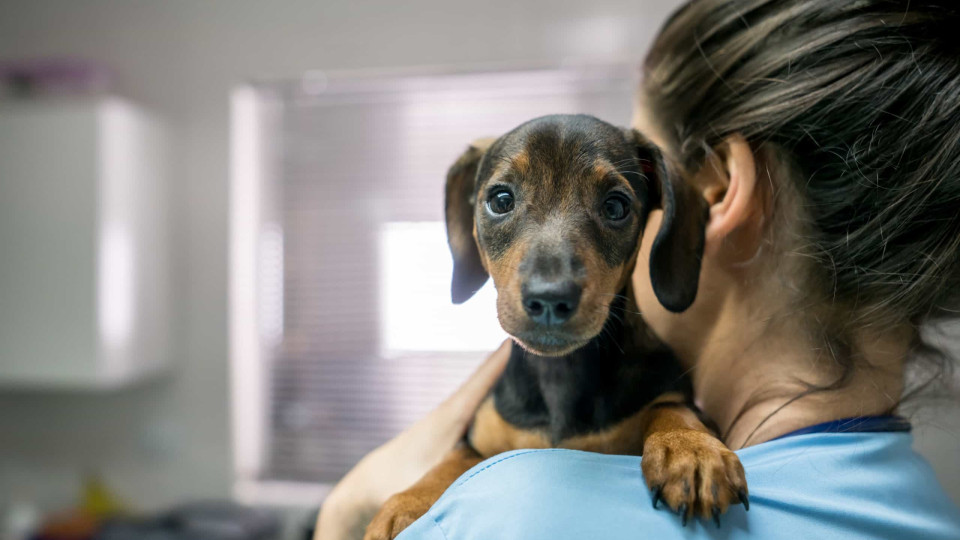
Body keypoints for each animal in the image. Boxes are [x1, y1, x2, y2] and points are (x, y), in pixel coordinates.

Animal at [364, 115, 748, 540]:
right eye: (501, 200)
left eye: (616, 206)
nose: (550, 299)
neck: (559, 377)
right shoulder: (476, 438)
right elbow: (449, 462)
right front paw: (404, 504)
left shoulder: (670, 393)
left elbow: (673, 408)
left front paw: (691, 449)